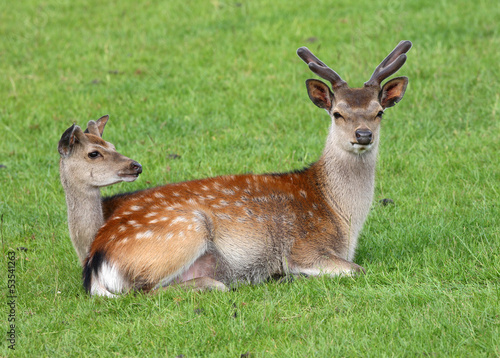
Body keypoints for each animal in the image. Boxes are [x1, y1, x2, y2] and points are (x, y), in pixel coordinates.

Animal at [83, 40, 410, 296]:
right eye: (338, 113)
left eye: (379, 112)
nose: (363, 135)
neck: (341, 216)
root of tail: (95, 263)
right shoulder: (303, 247)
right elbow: (358, 269)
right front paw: (290, 275)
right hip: (187, 228)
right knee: (145, 290)